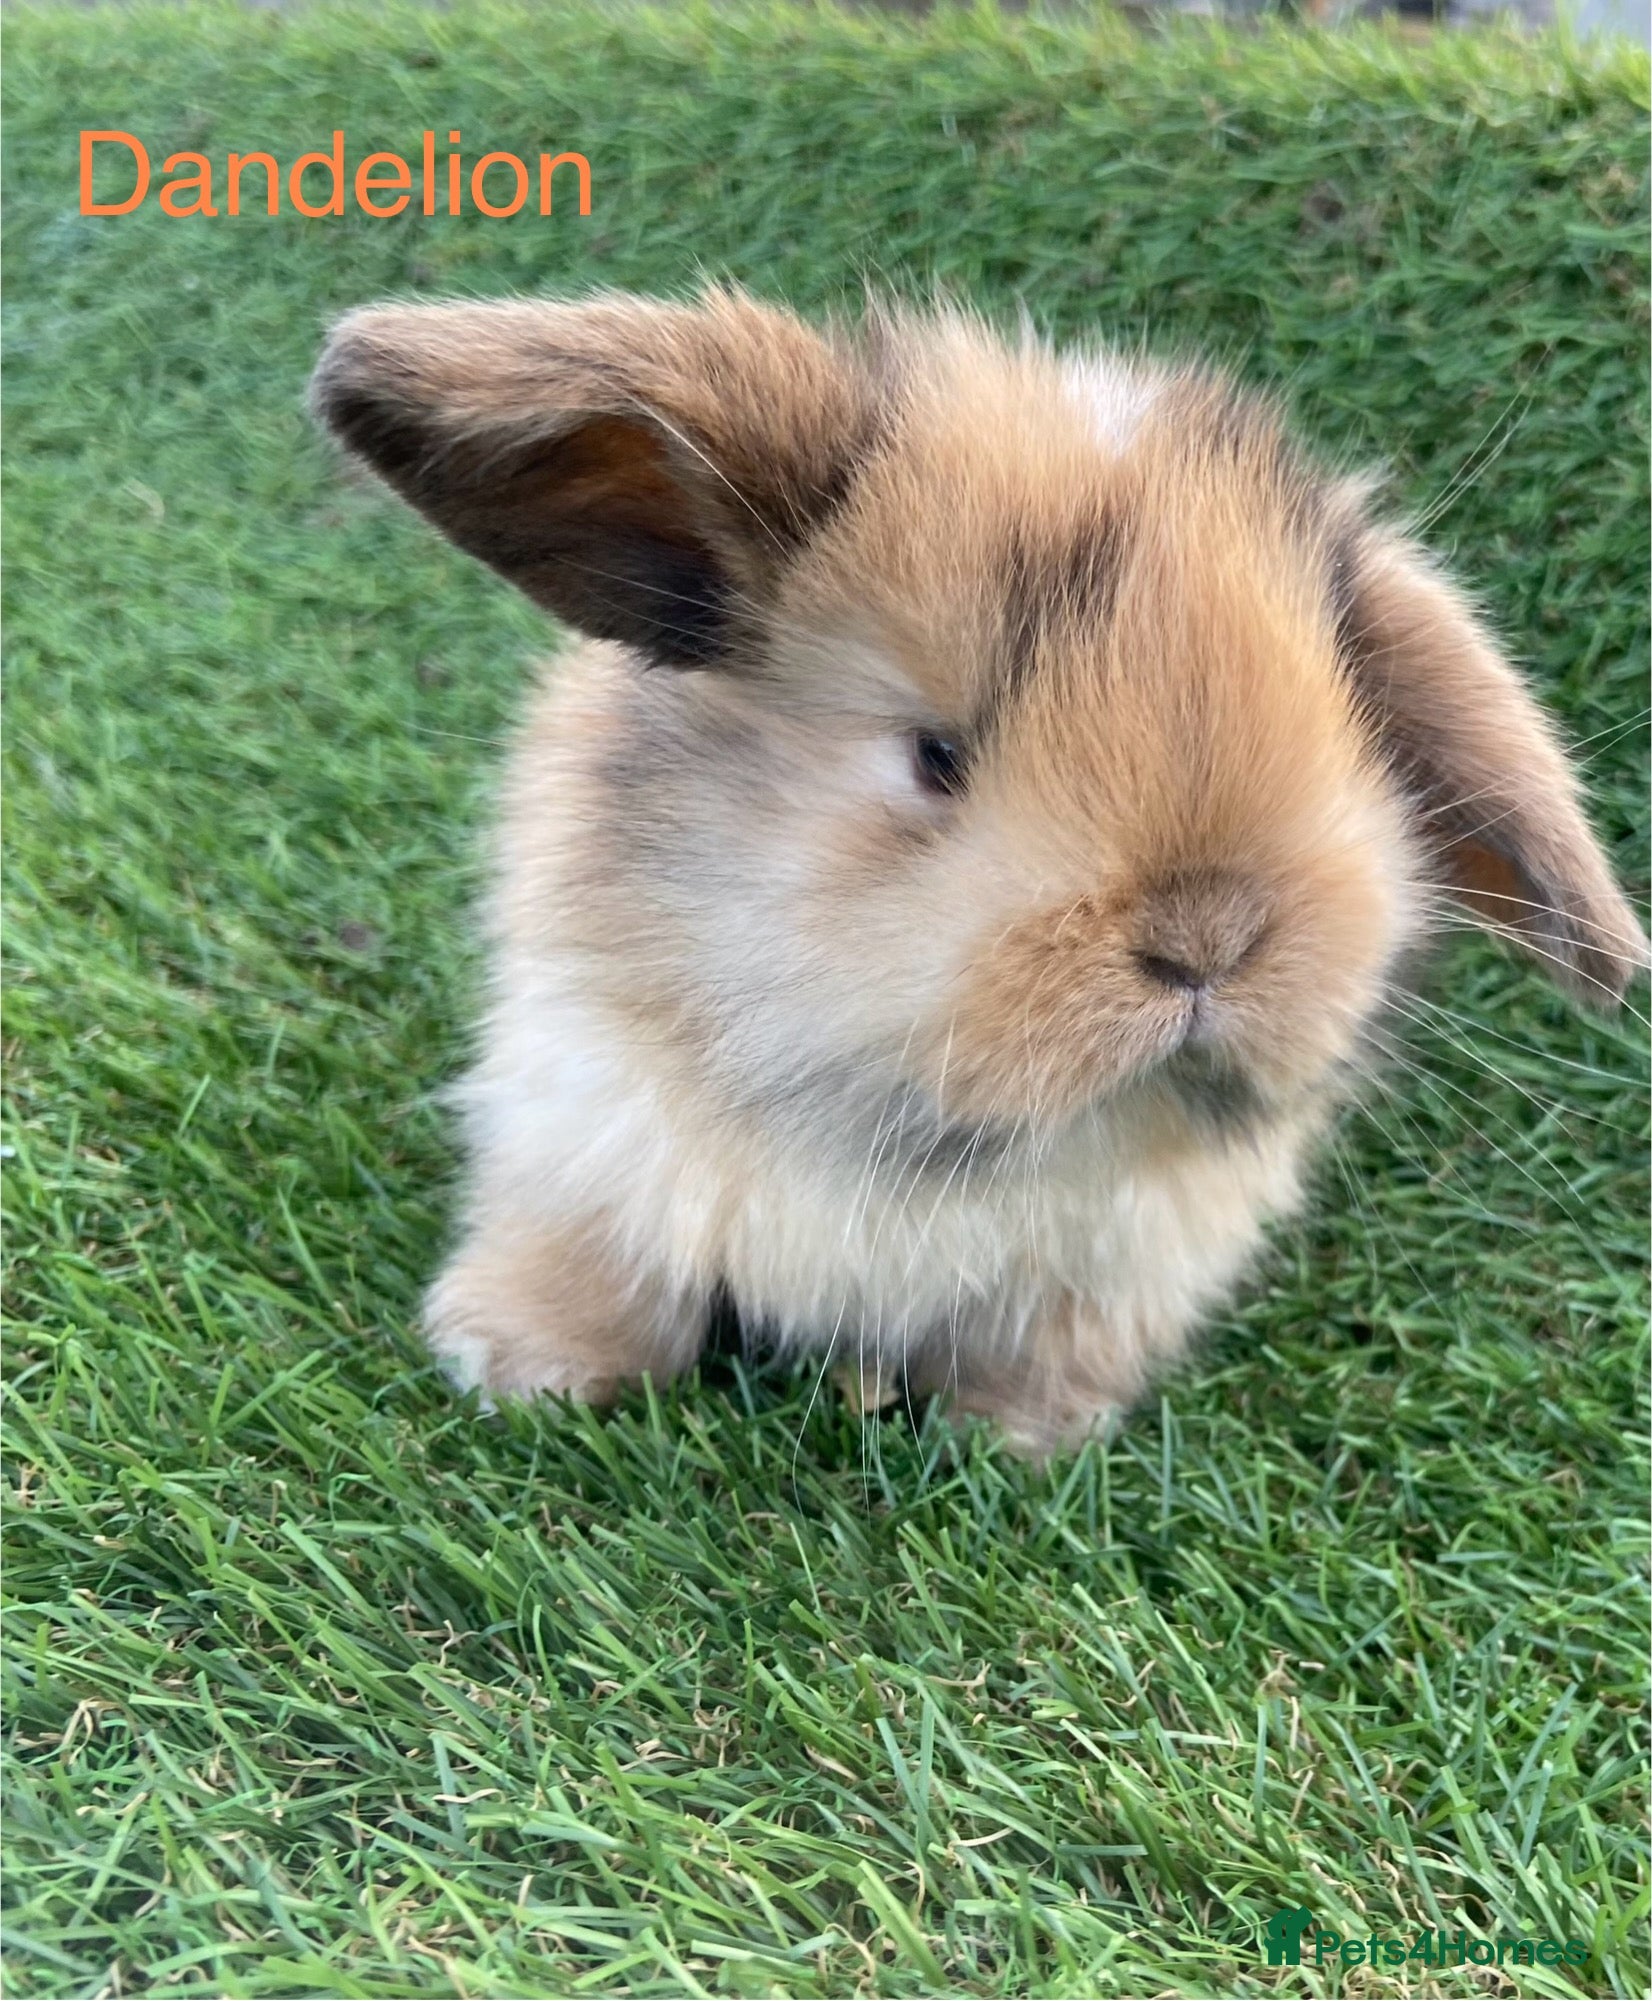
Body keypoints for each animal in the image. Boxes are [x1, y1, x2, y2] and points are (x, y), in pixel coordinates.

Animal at [311, 288, 1645, 1457]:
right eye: (936, 755)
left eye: (1350, 740)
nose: (1206, 937)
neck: (926, 1143)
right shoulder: (588, 1130)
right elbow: (599, 1269)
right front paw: (514, 1370)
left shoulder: (1114, 1267)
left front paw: (1017, 1442)